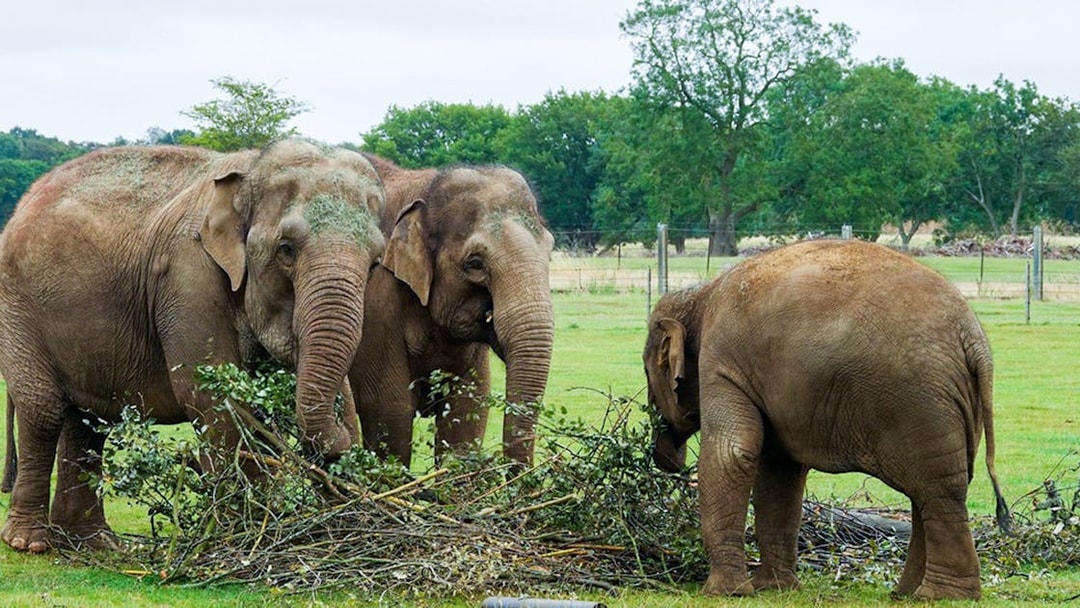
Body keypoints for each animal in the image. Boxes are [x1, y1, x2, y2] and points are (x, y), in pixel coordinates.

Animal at [0, 139, 386, 553]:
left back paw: (94, 543)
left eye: (375, 264)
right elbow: (211, 397)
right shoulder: (188, 276)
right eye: (286, 250)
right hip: (17, 310)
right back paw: (29, 542)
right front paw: (246, 532)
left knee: (88, 421)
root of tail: (24, 203)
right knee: (44, 410)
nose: (342, 444)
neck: (252, 166)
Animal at [347, 154, 554, 468]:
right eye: (475, 263)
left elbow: (467, 412)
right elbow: (389, 413)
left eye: (550, 252)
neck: (425, 185)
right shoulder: (374, 303)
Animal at [643, 240, 1010, 600]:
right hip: (954, 404)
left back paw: (941, 596)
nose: (663, 456)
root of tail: (974, 339)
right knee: (934, 490)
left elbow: (733, 453)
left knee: (938, 491)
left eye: (648, 373)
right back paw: (909, 594)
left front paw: (726, 593)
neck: (701, 297)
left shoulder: (720, 360)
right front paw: (774, 588)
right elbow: (780, 471)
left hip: (920, 401)